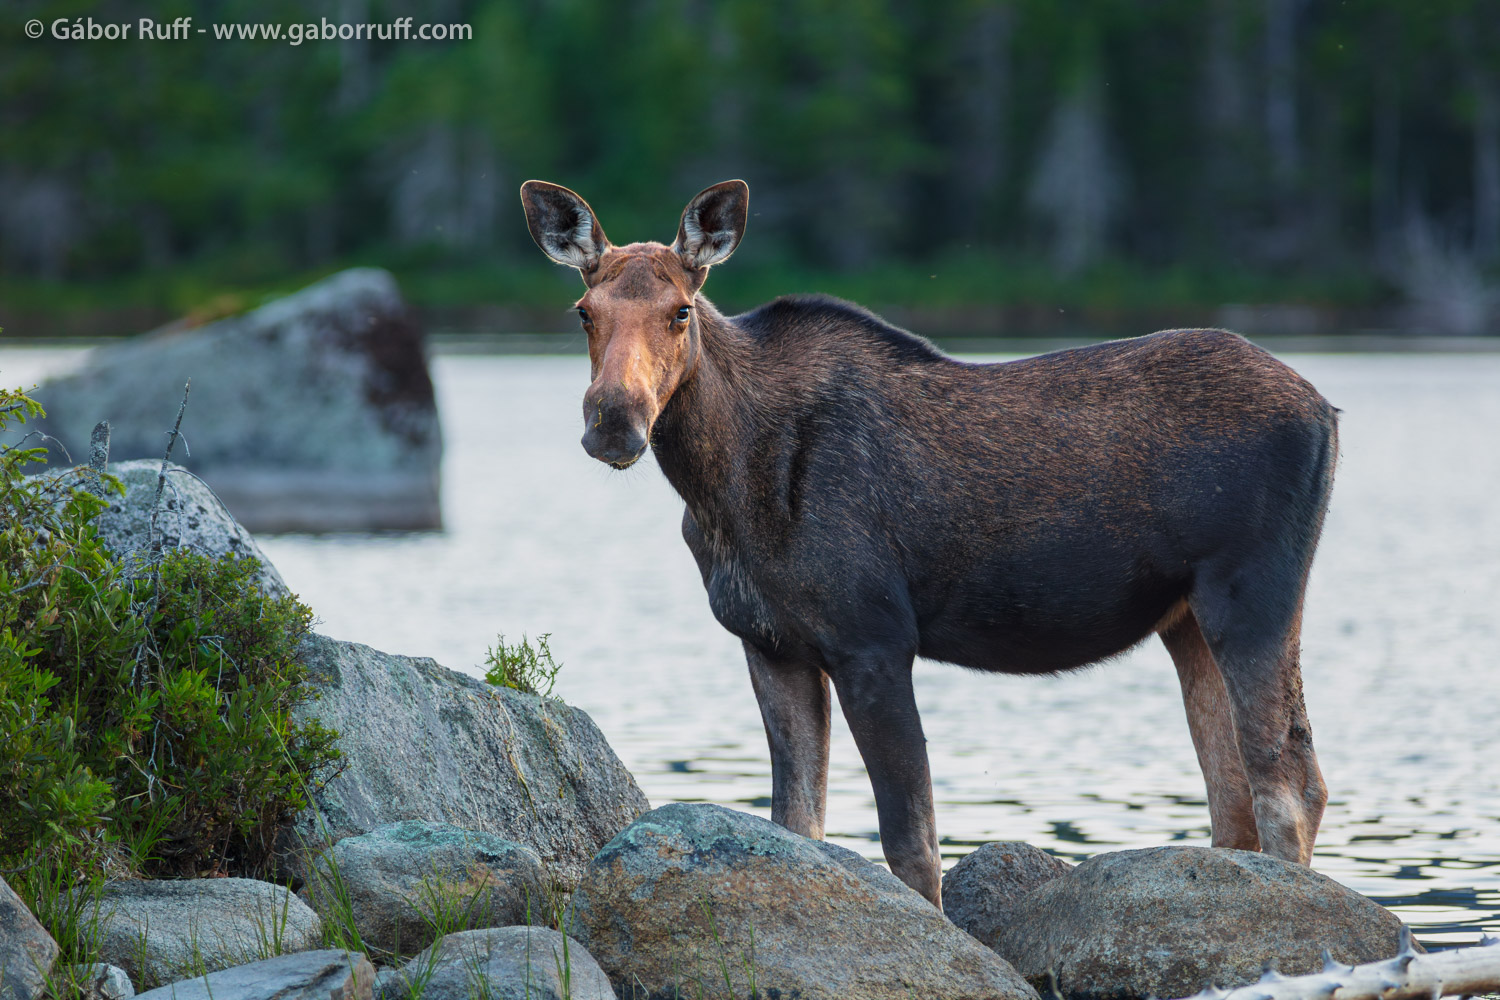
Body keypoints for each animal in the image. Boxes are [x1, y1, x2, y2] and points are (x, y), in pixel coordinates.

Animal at [520, 178, 1337, 909]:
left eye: (681, 310)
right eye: (583, 310)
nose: (615, 422)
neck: (720, 488)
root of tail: (1325, 408)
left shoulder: (875, 641)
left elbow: (912, 848)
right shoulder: (770, 645)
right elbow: (800, 828)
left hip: (1253, 594)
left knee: (1290, 783)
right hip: (1186, 618)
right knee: (1233, 793)